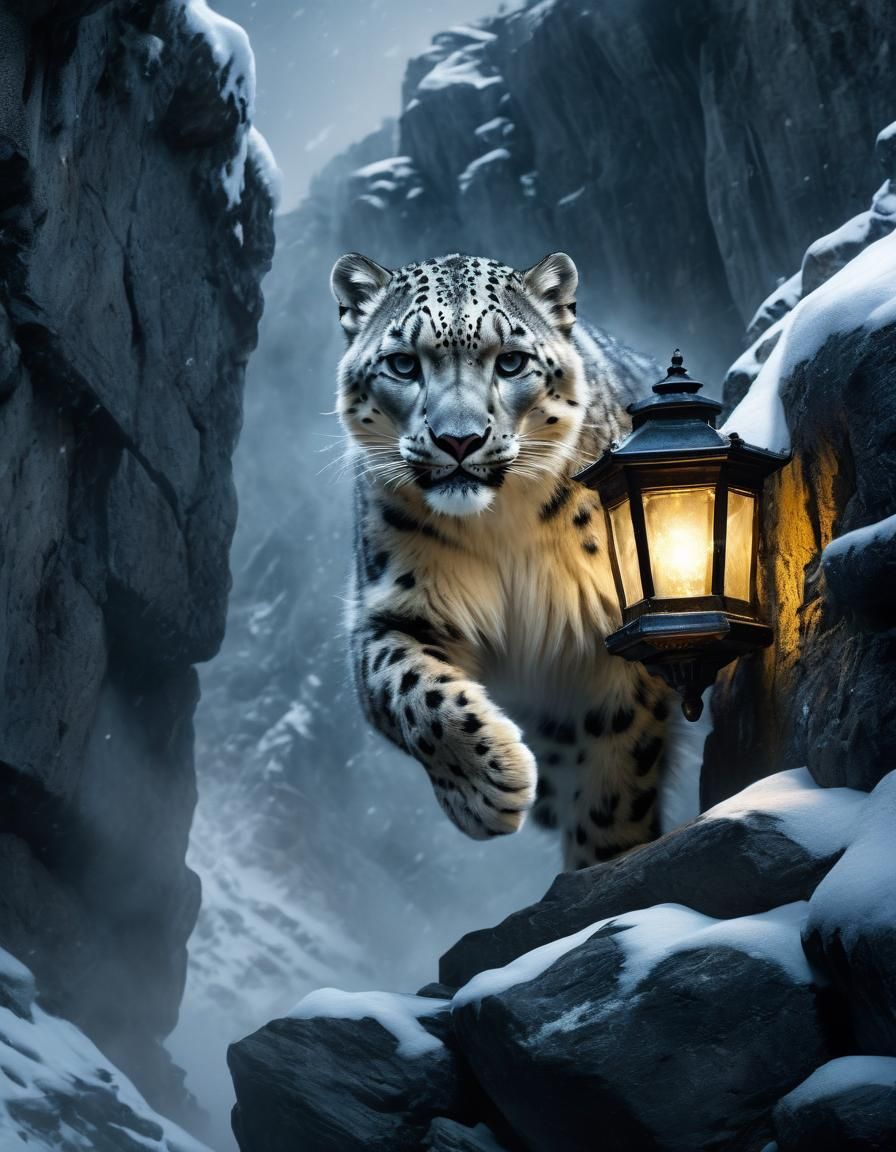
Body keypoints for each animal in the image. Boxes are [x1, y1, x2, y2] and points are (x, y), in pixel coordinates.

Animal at [330, 250, 674, 870]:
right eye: (403, 364)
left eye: (511, 361)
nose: (458, 440)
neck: (502, 529)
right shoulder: (391, 609)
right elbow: (413, 692)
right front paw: (486, 790)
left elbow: (616, 767)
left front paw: (605, 861)